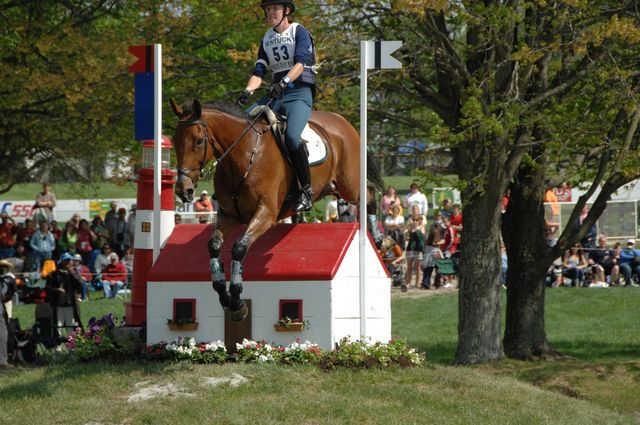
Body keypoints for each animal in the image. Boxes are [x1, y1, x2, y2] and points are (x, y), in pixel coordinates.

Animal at [168, 97, 384, 320]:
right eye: (174, 141)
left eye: (198, 141)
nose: (184, 190)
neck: (244, 155)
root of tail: (343, 122)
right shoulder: (229, 215)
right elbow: (214, 246)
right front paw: (224, 294)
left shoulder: (265, 213)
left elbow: (239, 248)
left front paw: (237, 302)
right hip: (332, 187)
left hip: (349, 184)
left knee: (369, 192)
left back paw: (377, 237)